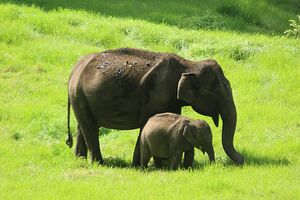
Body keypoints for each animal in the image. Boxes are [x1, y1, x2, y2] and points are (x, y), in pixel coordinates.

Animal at [66, 47, 244, 165]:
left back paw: (80, 160)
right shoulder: (158, 95)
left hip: (81, 98)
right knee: (90, 128)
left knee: (83, 126)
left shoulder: (172, 100)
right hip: (79, 95)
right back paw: (98, 163)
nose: (242, 160)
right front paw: (142, 166)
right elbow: (147, 123)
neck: (188, 64)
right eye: (216, 92)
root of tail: (75, 68)